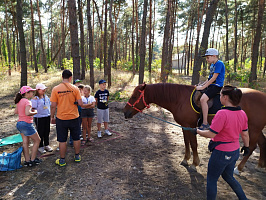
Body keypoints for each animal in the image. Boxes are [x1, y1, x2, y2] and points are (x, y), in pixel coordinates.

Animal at [123, 83, 266, 170]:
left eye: (134, 96)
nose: (125, 112)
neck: (180, 98)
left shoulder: (191, 126)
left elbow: (193, 144)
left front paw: (194, 163)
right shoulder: (184, 126)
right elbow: (186, 142)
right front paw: (186, 159)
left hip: (254, 128)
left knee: (251, 147)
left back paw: (239, 168)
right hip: (255, 128)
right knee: (262, 143)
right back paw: (260, 165)